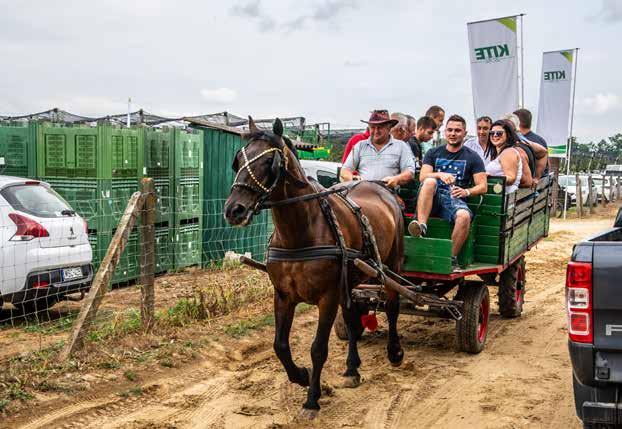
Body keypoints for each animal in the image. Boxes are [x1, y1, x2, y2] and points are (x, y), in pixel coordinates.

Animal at [224, 118, 404, 418]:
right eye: (238, 160)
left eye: (269, 161)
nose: (233, 210)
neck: (300, 232)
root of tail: (381, 189)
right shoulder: (283, 296)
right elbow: (280, 346)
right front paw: (302, 376)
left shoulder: (326, 298)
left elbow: (318, 348)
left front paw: (312, 399)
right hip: (350, 278)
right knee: (352, 319)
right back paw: (352, 368)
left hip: (393, 264)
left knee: (392, 307)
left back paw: (395, 351)